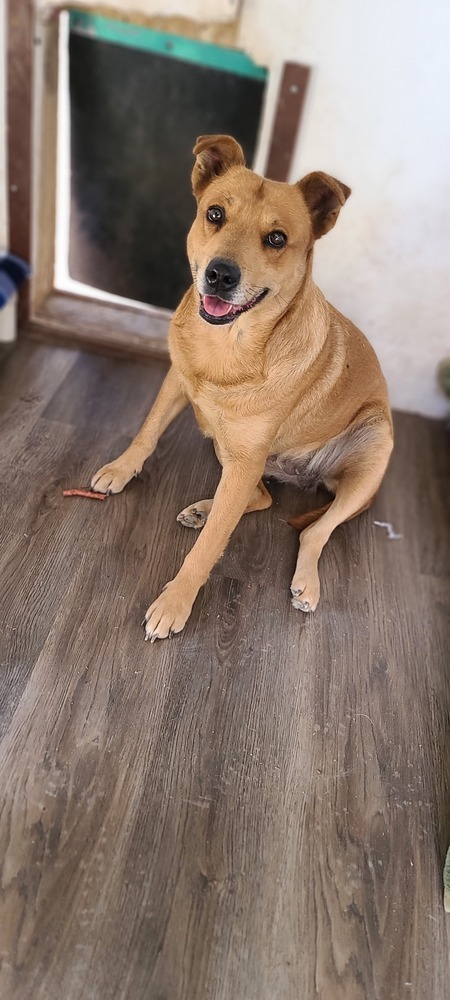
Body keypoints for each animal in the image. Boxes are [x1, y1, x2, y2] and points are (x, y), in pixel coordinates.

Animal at [90, 135, 390, 640]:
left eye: (277, 239)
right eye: (214, 214)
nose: (220, 275)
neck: (230, 345)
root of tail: (299, 475)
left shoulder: (246, 459)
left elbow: (211, 547)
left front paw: (175, 603)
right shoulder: (177, 380)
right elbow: (147, 432)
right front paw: (120, 469)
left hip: (374, 444)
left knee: (314, 530)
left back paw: (306, 581)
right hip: (228, 448)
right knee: (260, 497)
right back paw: (205, 509)